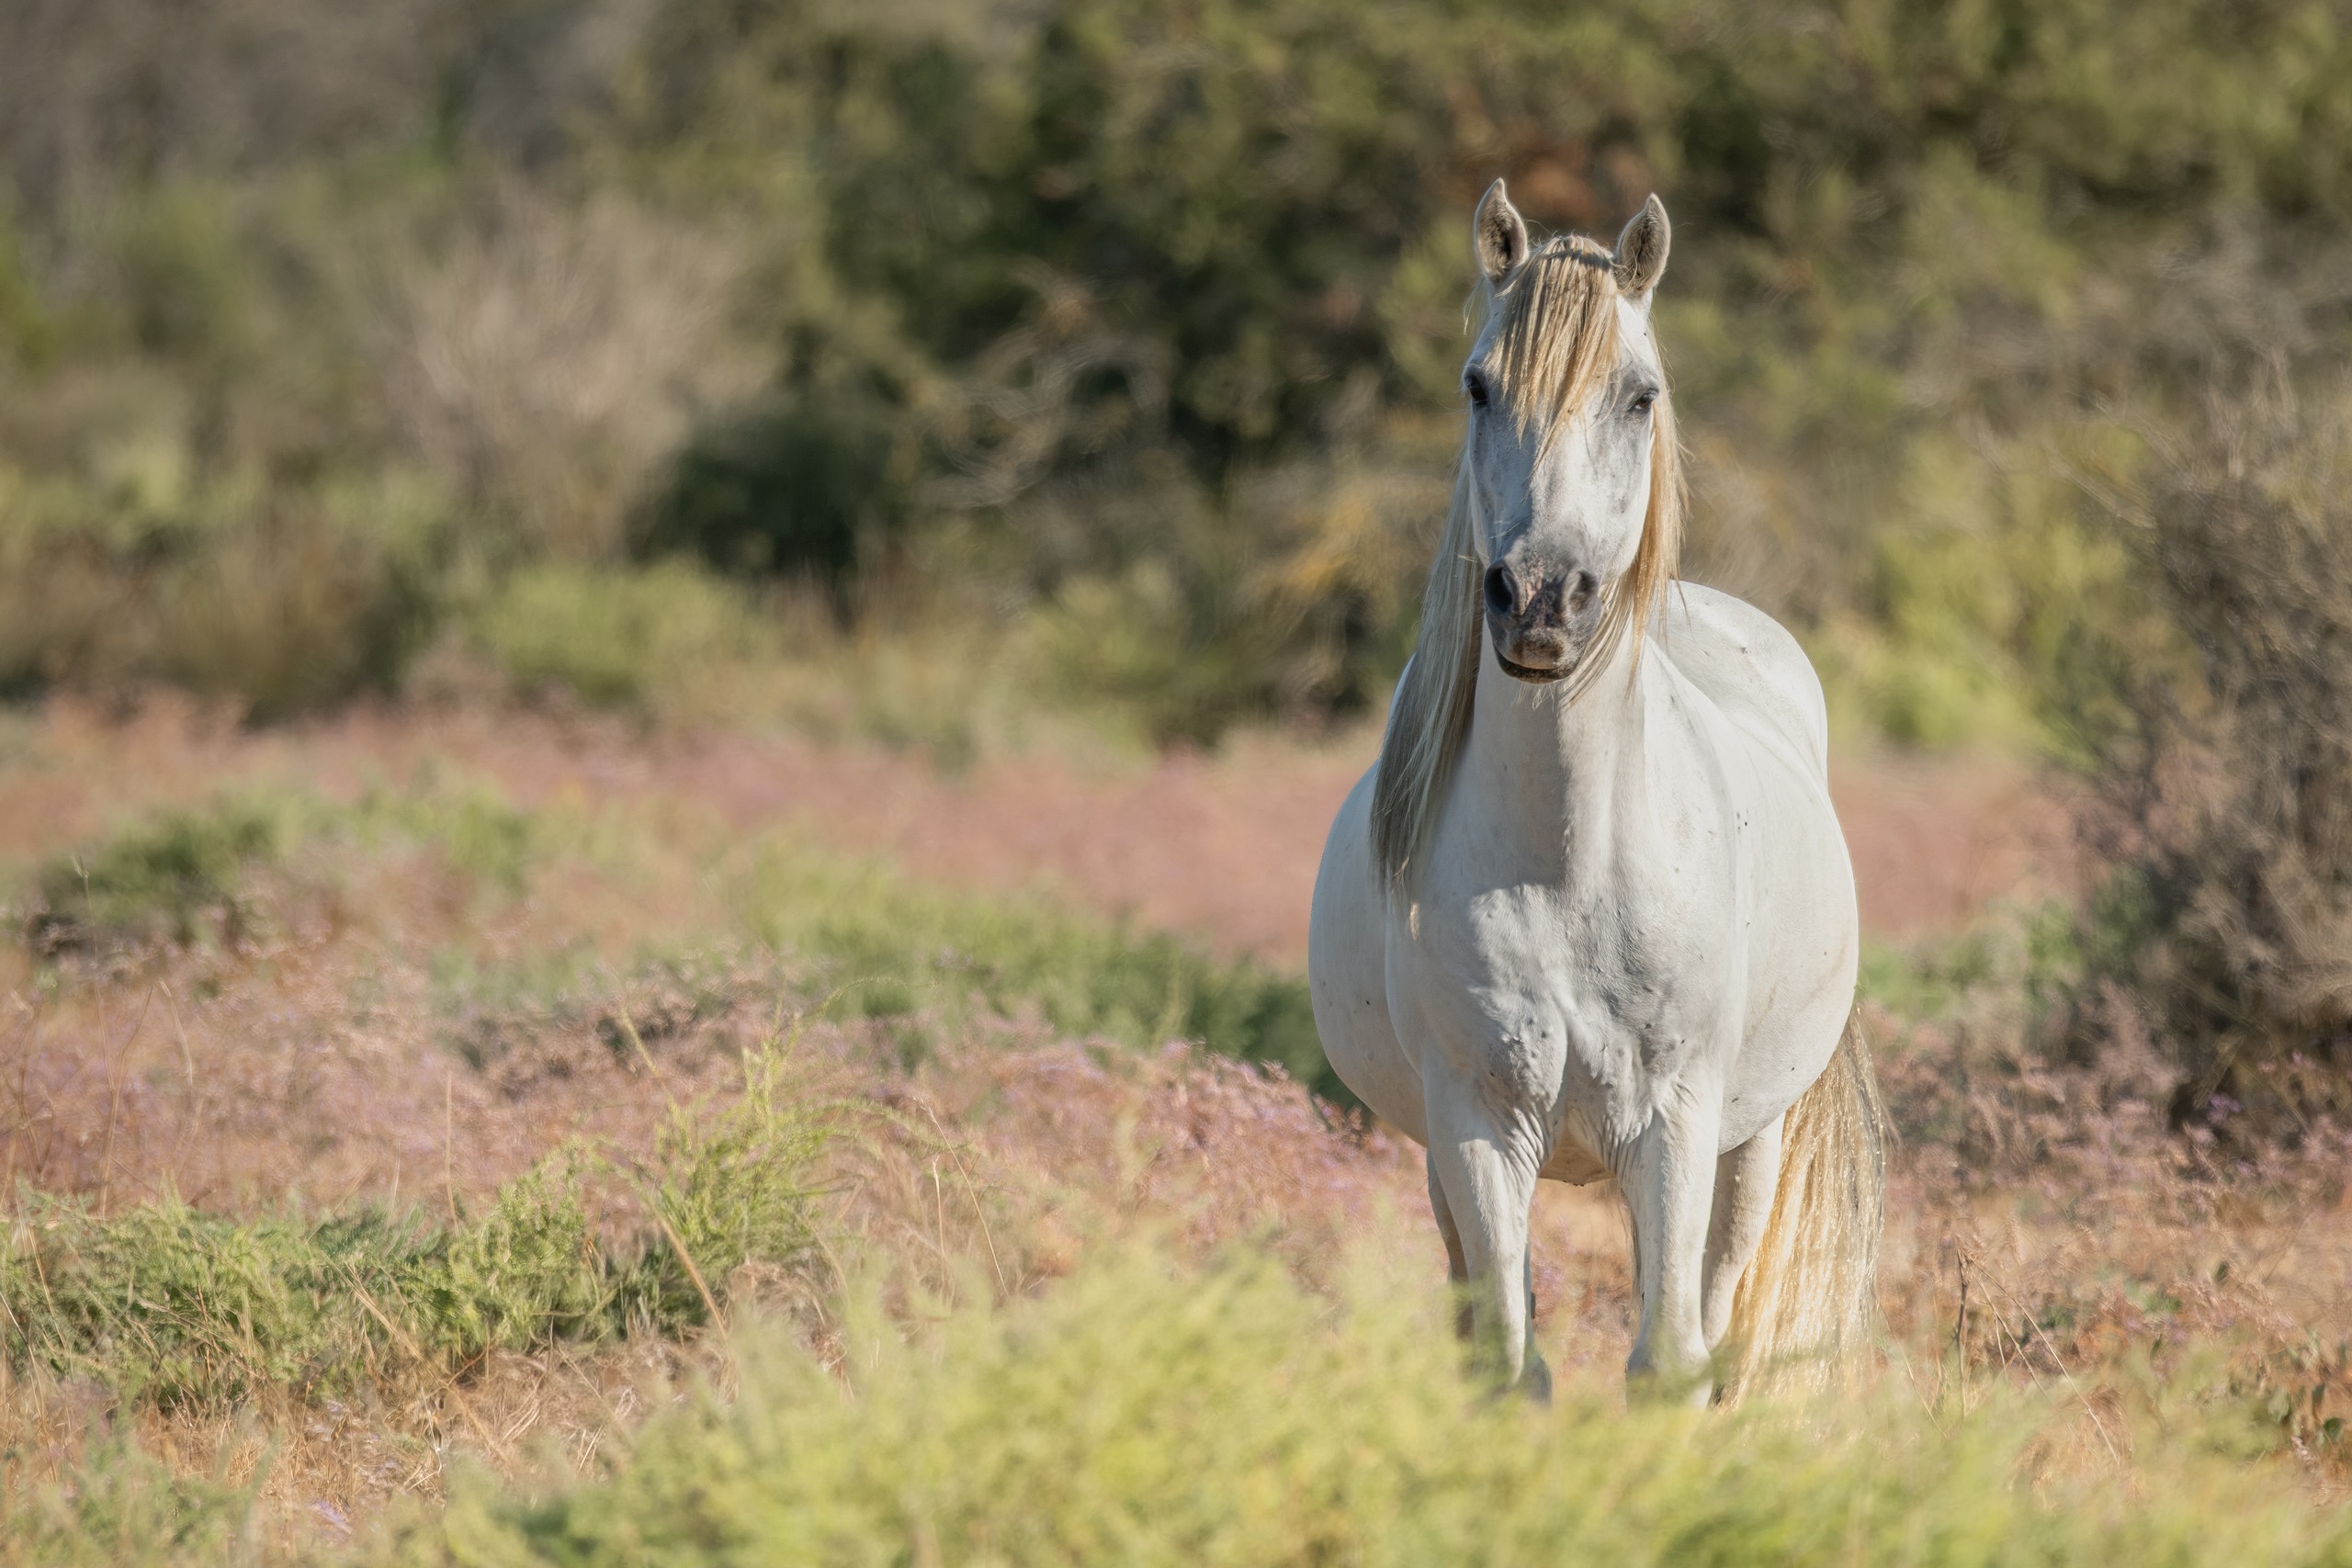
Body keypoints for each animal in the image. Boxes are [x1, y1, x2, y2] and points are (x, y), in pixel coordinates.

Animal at [1307, 180, 1885, 1405]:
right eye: (1479, 385)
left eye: (1639, 395)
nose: (1539, 600)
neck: (1567, 857)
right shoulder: (1477, 1128)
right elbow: (1509, 1362)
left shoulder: (1673, 1127)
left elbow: (1670, 1361)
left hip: (1746, 1146)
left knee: (1719, 1327)